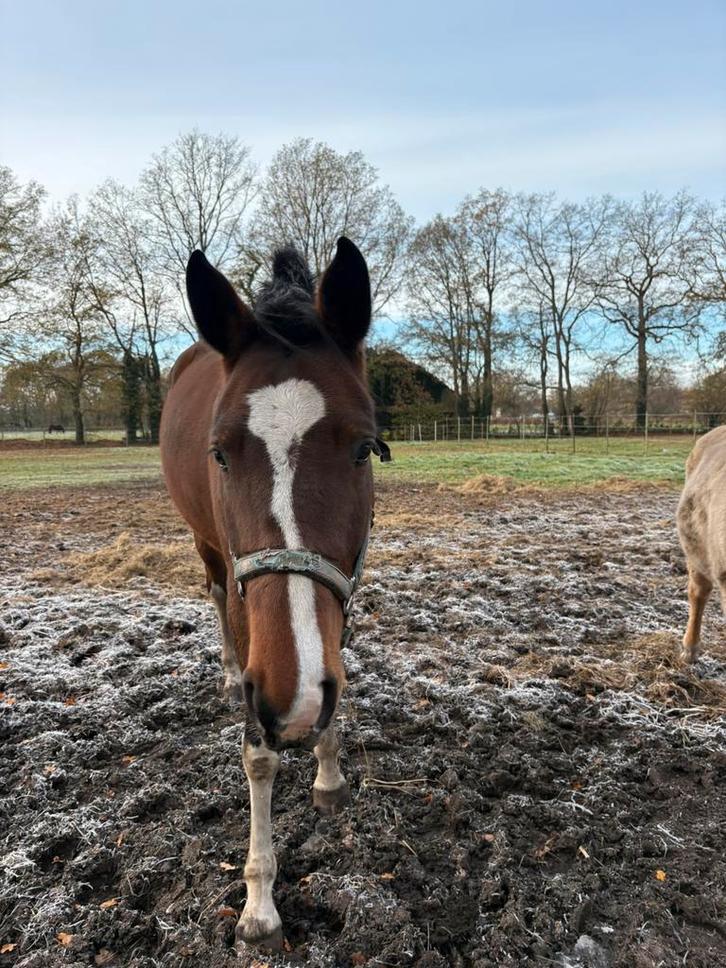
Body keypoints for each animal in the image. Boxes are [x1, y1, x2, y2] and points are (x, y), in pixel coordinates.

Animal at [159, 238, 389, 951]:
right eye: (220, 454)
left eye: (364, 449)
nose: (289, 701)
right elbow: (258, 757)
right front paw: (259, 901)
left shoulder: (343, 587)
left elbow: (335, 678)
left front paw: (328, 773)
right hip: (207, 549)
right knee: (213, 596)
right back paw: (230, 676)